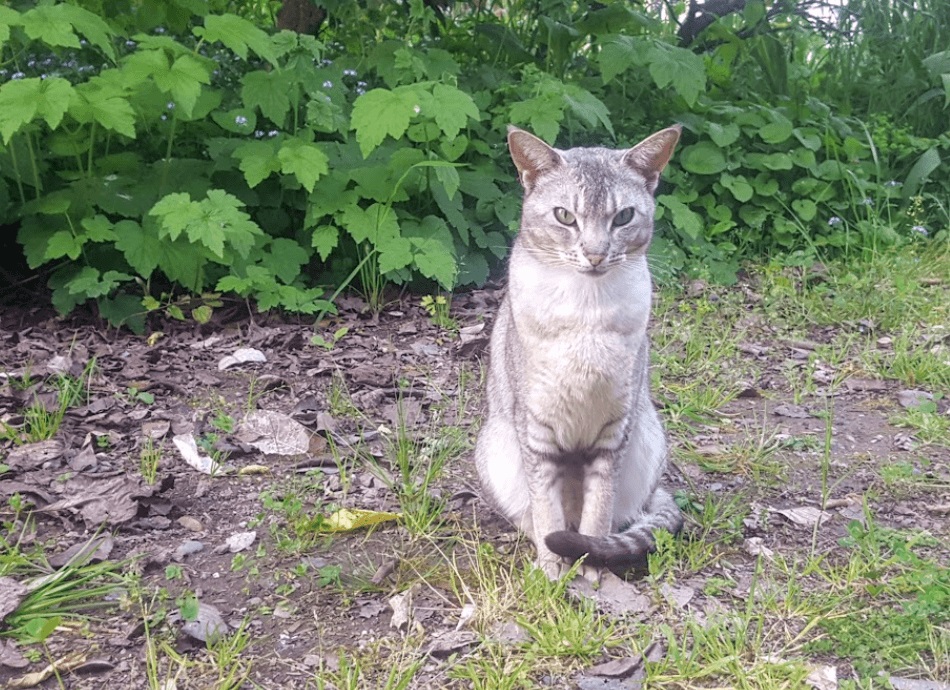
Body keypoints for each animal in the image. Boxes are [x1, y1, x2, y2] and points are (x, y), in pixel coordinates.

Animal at [476, 125, 684, 580]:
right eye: (565, 216)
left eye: (622, 217)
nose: (594, 253)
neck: (587, 313)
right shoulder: (535, 429)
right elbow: (546, 508)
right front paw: (553, 567)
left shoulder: (615, 431)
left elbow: (599, 510)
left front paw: (589, 569)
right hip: (496, 449)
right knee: (532, 515)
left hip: (648, 439)